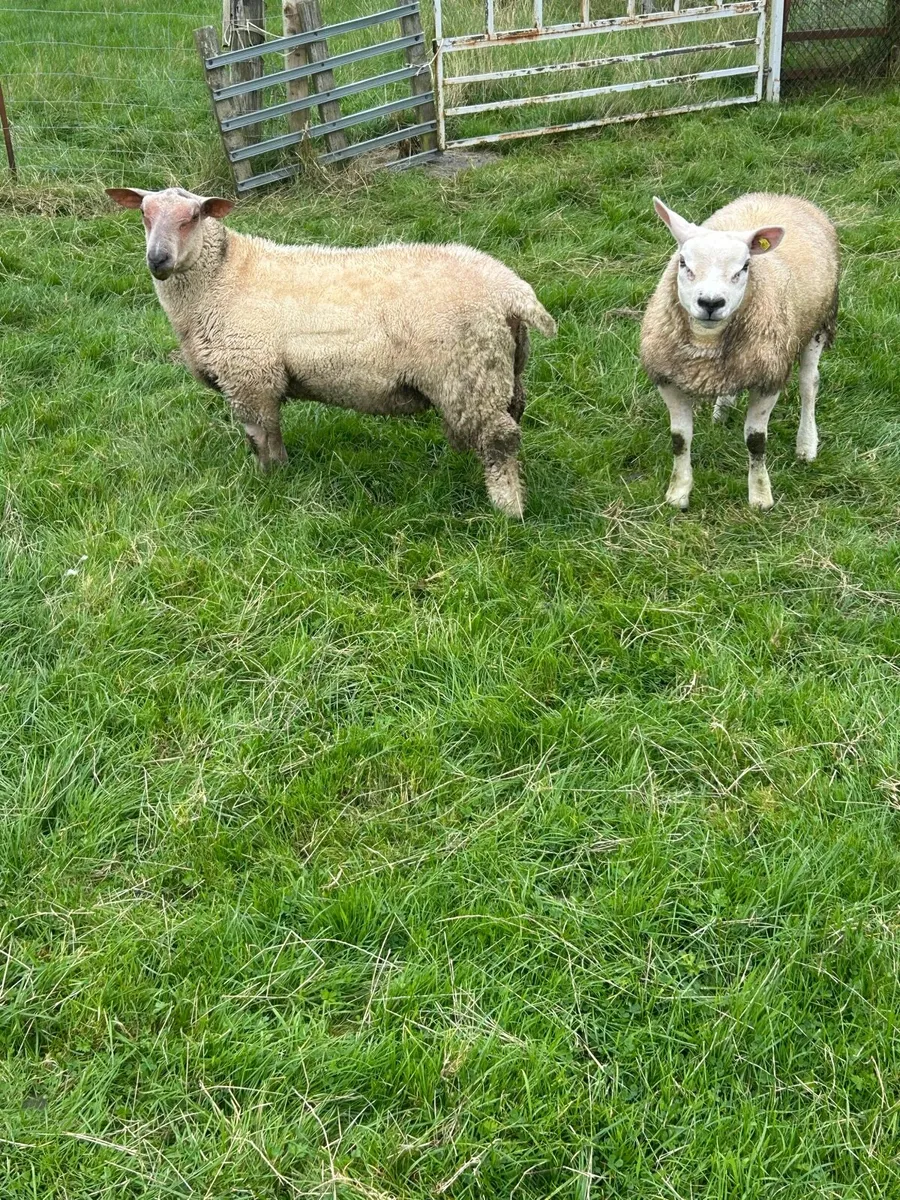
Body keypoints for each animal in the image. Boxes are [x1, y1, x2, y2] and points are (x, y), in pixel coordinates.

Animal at [105, 186, 556, 518]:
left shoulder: (249, 376)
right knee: (514, 413)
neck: (221, 279)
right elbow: (271, 434)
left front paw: (269, 481)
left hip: (468, 372)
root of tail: (512, 291)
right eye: (144, 214)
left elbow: (259, 437)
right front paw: (282, 473)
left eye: (193, 217)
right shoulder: (260, 380)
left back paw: (508, 509)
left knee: (500, 438)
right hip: (502, 367)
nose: (157, 259)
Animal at [640, 192, 839, 511]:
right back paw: (722, 411)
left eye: (744, 267)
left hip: (818, 322)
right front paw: (678, 494)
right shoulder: (668, 379)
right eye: (683, 262)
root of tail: (779, 195)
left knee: (810, 383)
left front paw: (760, 497)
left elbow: (756, 442)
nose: (711, 302)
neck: (706, 343)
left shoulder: (769, 380)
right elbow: (680, 439)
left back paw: (806, 444)